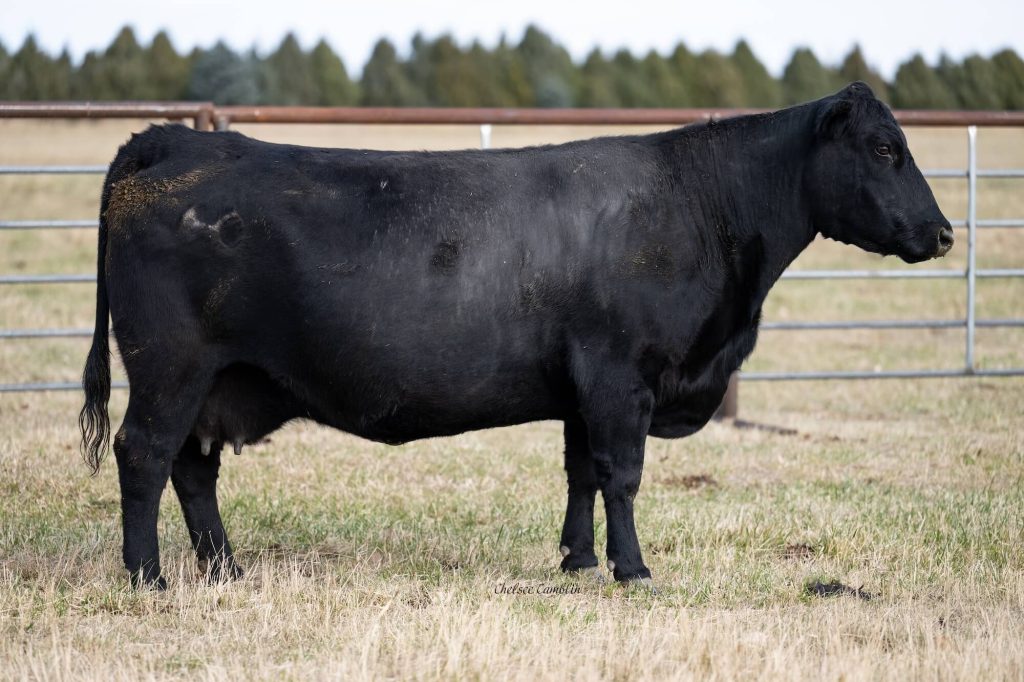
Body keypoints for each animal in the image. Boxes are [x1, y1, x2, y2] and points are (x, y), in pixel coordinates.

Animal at [79, 82, 953, 589]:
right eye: (885, 147)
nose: (944, 233)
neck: (701, 205)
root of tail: (176, 138)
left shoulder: (582, 388)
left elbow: (580, 474)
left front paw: (577, 560)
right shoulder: (619, 376)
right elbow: (623, 475)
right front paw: (633, 570)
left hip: (215, 382)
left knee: (194, 469)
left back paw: (225, 570)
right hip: (170, 370)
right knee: (145, 456)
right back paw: (148, 577)